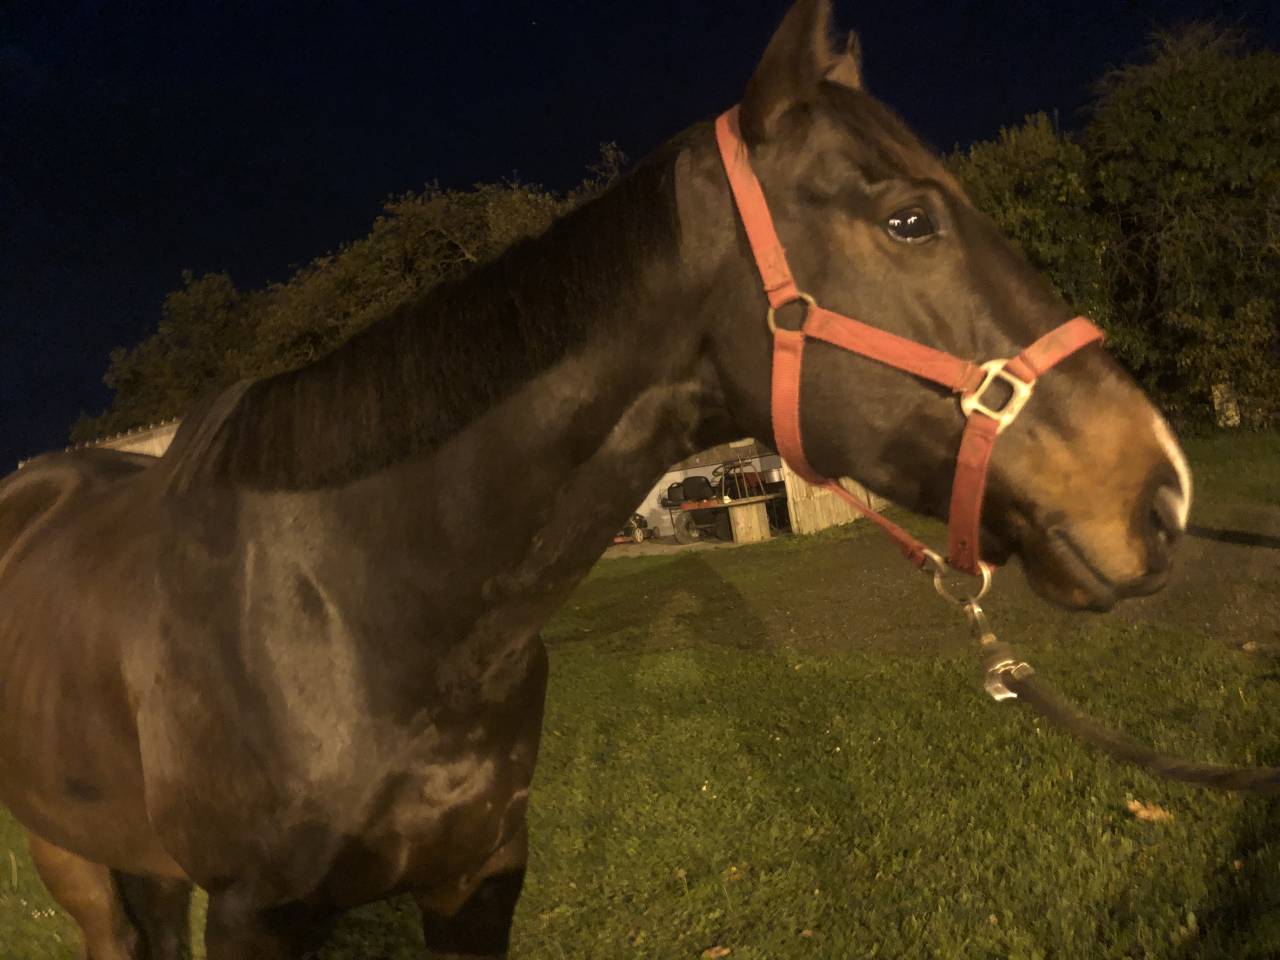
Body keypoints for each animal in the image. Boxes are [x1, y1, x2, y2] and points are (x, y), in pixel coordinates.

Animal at [0, 1, 1191, 957]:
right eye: (908, 218)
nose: (1159, 489)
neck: (355, 604)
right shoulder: (256, 913)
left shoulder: (477, 881)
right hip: (69, 855)